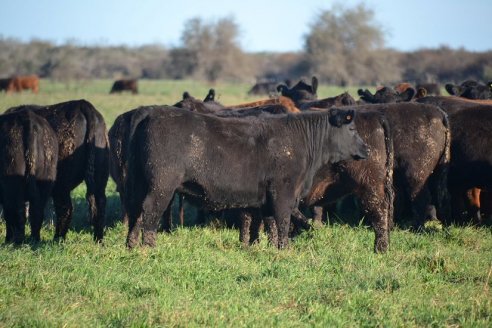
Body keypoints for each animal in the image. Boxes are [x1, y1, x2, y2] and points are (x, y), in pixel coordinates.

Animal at [0, 110, 57, 243]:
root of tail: (27, 119)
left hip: (13, 186)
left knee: (17, 212)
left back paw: (16, 241)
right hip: (44, 185)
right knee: (36, 212)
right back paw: (34, 239)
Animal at [6, 100, 108, 241]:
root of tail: (83, 105)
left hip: (60, 184)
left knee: (62, 208)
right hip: (97, 179)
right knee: (98, 204)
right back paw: (97, 240)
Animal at [125, 107, 368, 249]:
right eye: (352, 128)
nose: (367, 149)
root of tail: (151, 113)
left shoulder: (267, 197)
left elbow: (268, 224)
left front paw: (265, 248)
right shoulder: (283, 192)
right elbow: (282, 221)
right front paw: (285, 250)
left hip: (140, 183)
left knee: (136, 210)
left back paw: (131, 245)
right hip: (162, 185)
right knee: (150, 211)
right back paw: (149, 247)